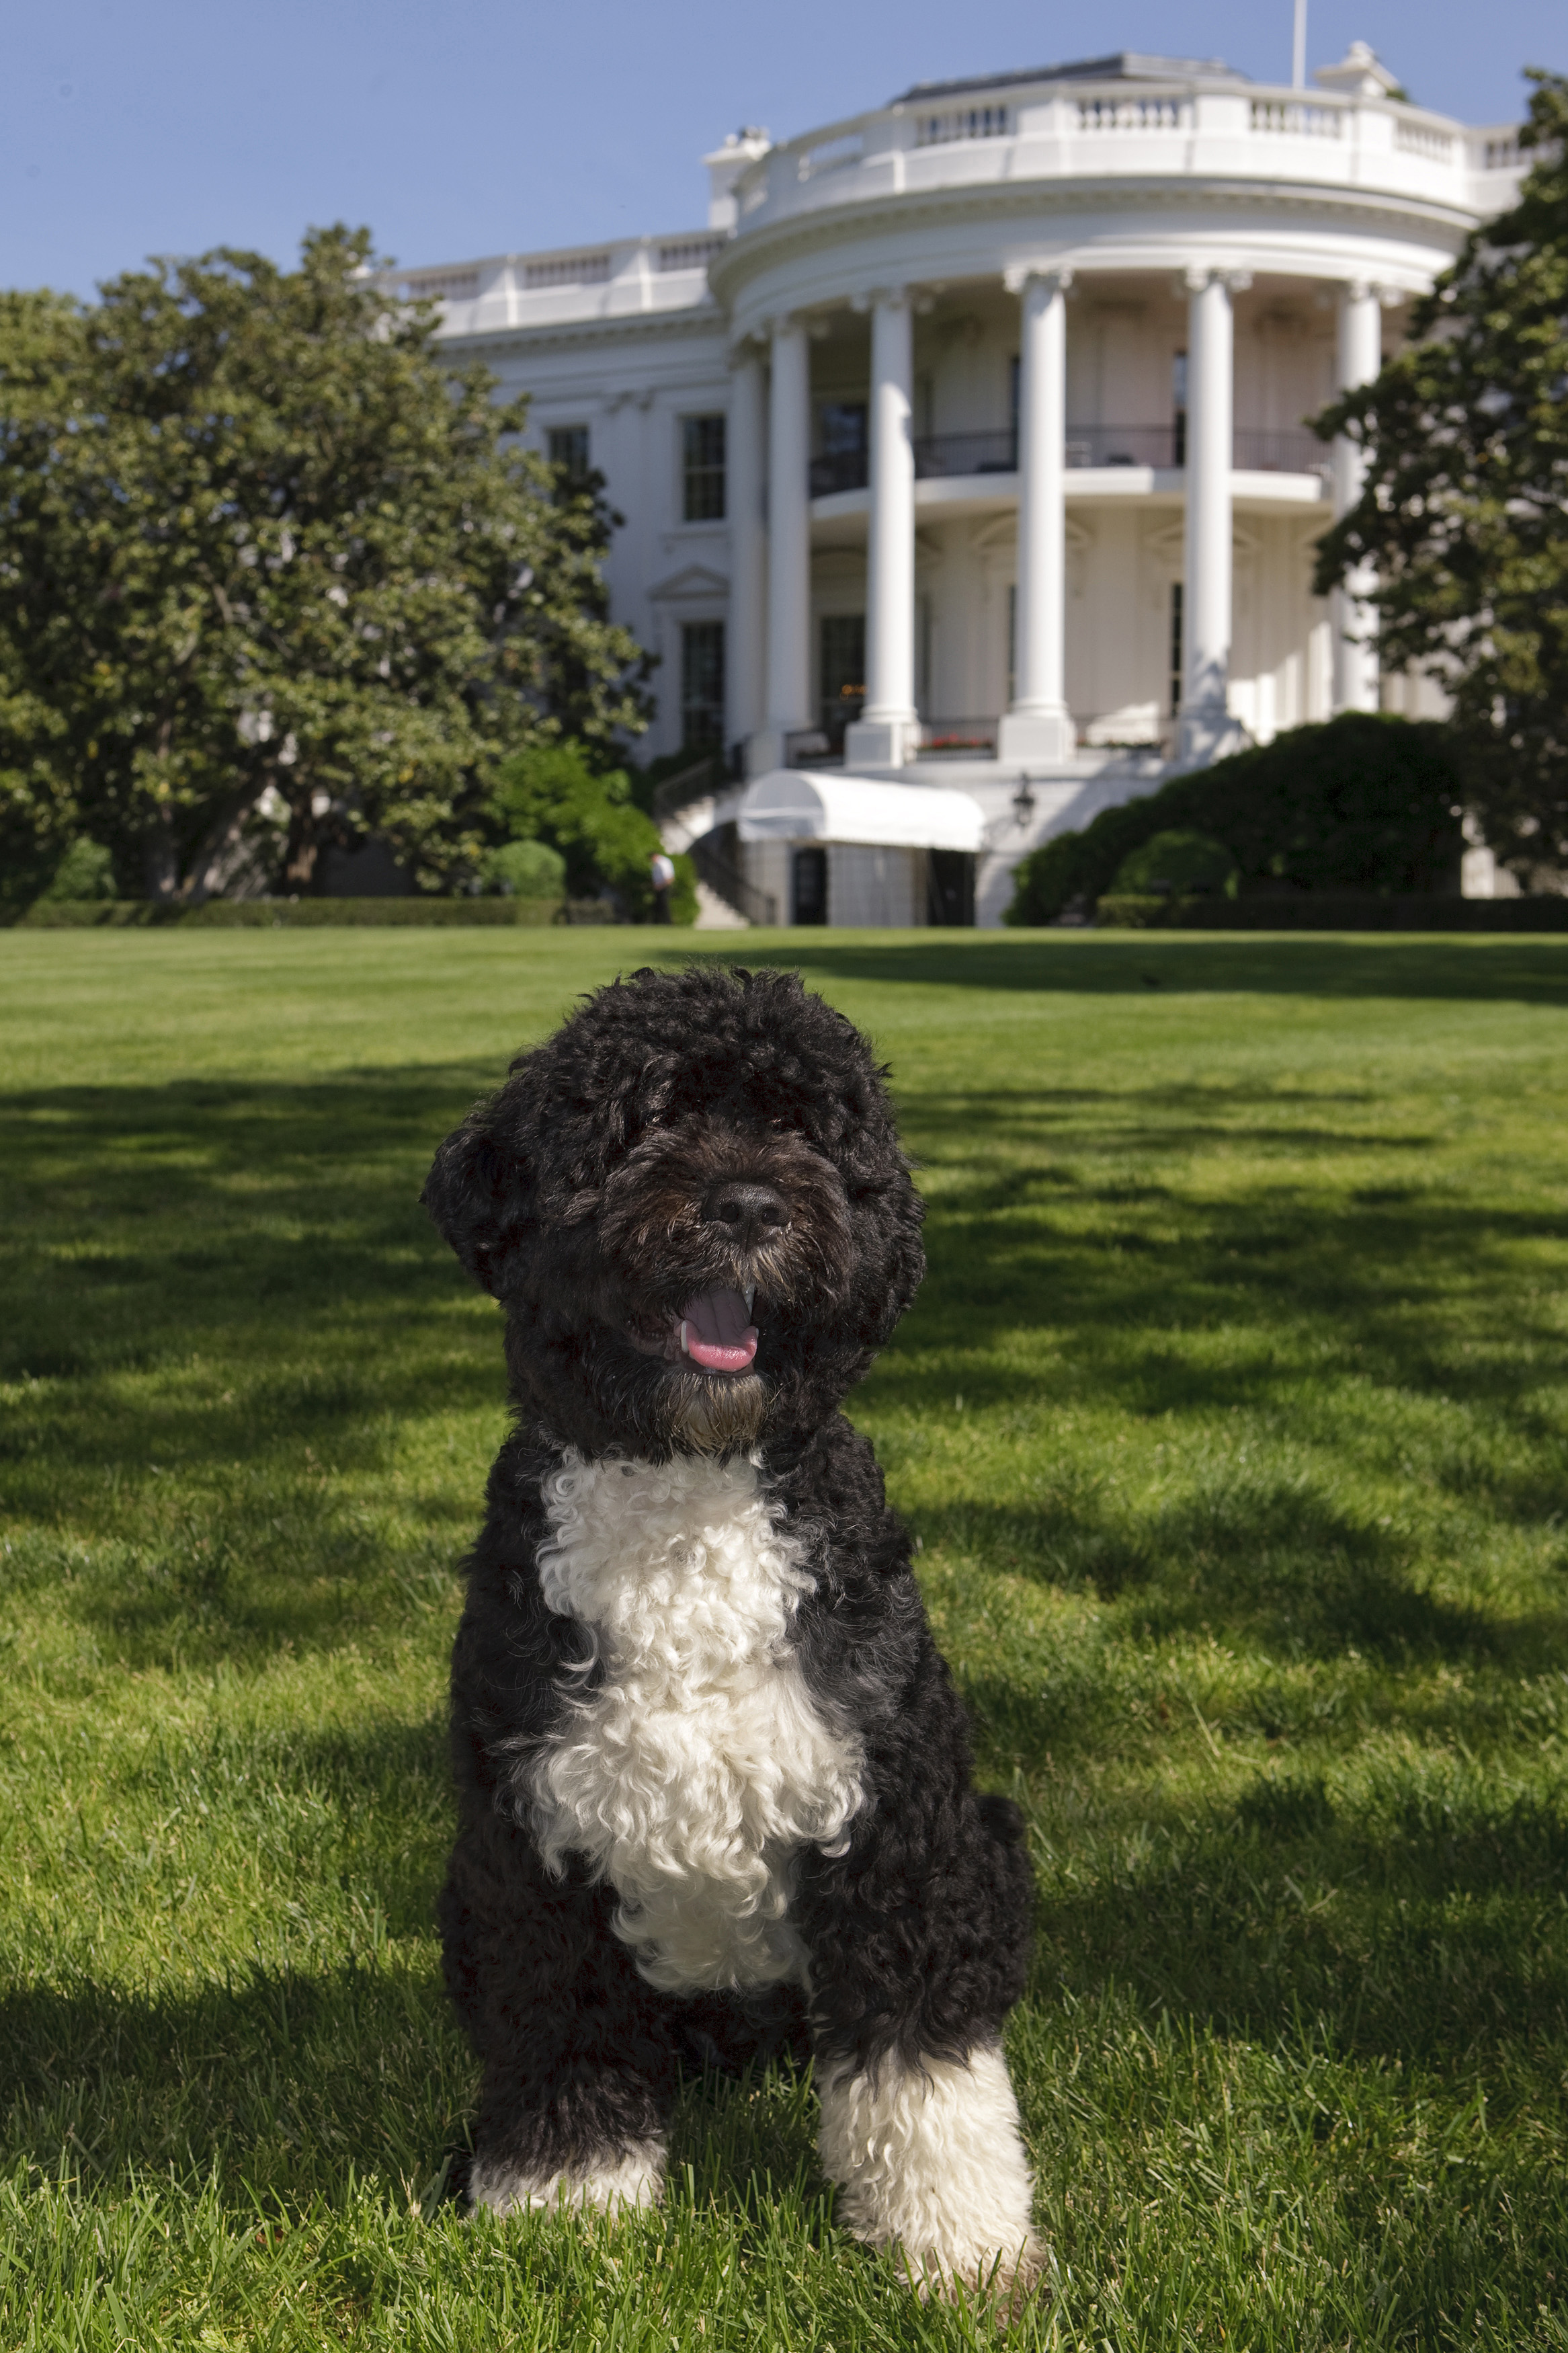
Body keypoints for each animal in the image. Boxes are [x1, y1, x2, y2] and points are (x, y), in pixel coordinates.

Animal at [423, 960, 1044, 2297]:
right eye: (644, 1120)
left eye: (808, 1129)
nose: (749, 1205)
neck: (686, 1492)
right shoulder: (528, 1849)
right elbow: (562, 2039)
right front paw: (561, 2201)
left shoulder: (897, 1835)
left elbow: (923, 2073)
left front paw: (959, 2240)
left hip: (993, 1843)